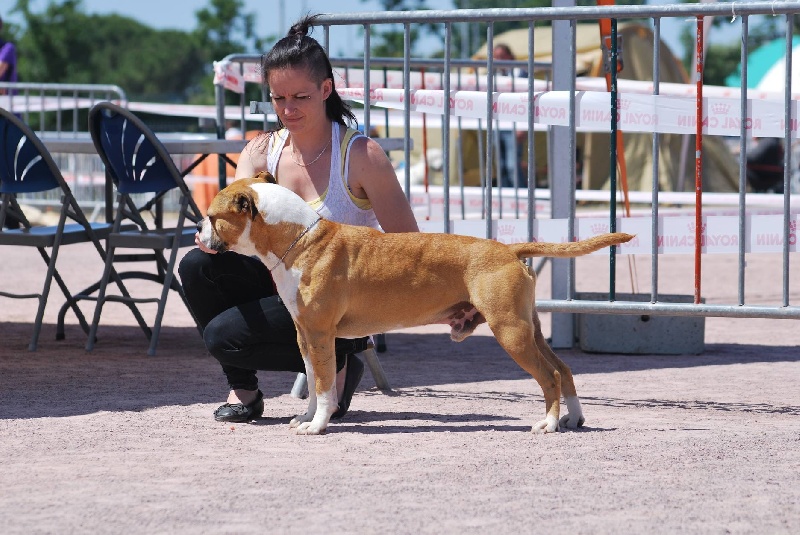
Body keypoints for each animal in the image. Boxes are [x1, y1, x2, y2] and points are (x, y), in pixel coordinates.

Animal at [197, 176, 636, 436]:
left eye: (212, 217)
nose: (198, 232)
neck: (298, 239)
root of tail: (509, 249)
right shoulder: (305, 335)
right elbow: (313, 381)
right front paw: (306, 417)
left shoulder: (320, 334)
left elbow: (322, 384)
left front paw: (318, 425)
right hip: (529, 329)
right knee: (564, 368)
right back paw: (573, 418)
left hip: (511, 332)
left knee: (549, 375)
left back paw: (547, 423)